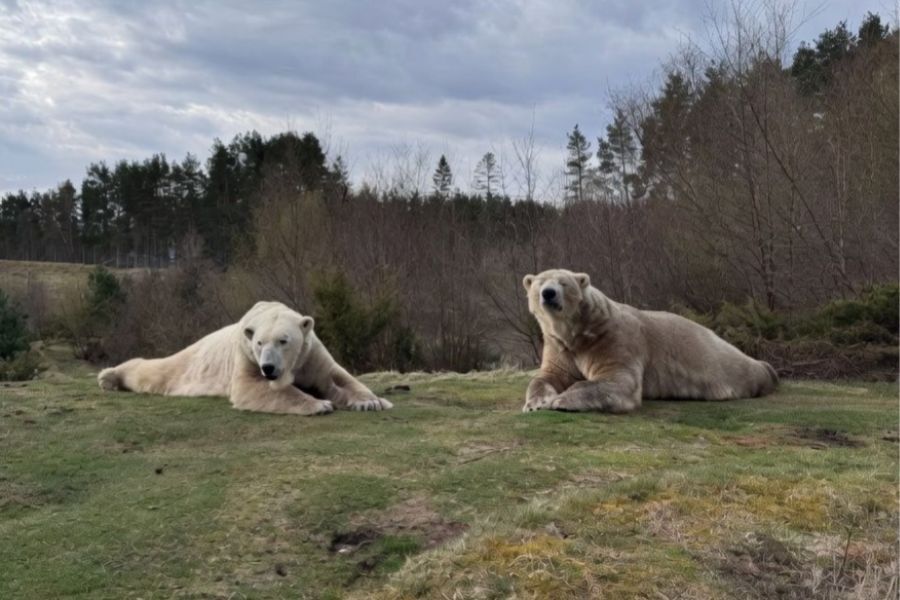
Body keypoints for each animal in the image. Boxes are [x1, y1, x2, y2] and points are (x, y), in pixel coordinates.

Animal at [97, 301, 393, 416]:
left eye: (284, 340)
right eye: (259, 342)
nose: (268, 368)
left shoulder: (310, 354)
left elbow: (337, 378)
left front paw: (372, 402)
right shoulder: (246, 356)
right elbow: (254, 388)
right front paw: (320, 404)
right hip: (188, 361)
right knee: (156, 370)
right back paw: (108, 377)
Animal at [521, 269, 778, 413]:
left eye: (563, 283)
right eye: (539, 284)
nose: (548, 293)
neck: (579, 332)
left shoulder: (615, 339)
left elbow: (618, 380)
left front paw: (562, 400)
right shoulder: (559, 345)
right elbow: (549, 376)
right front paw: (536, 403)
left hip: (725, 365)